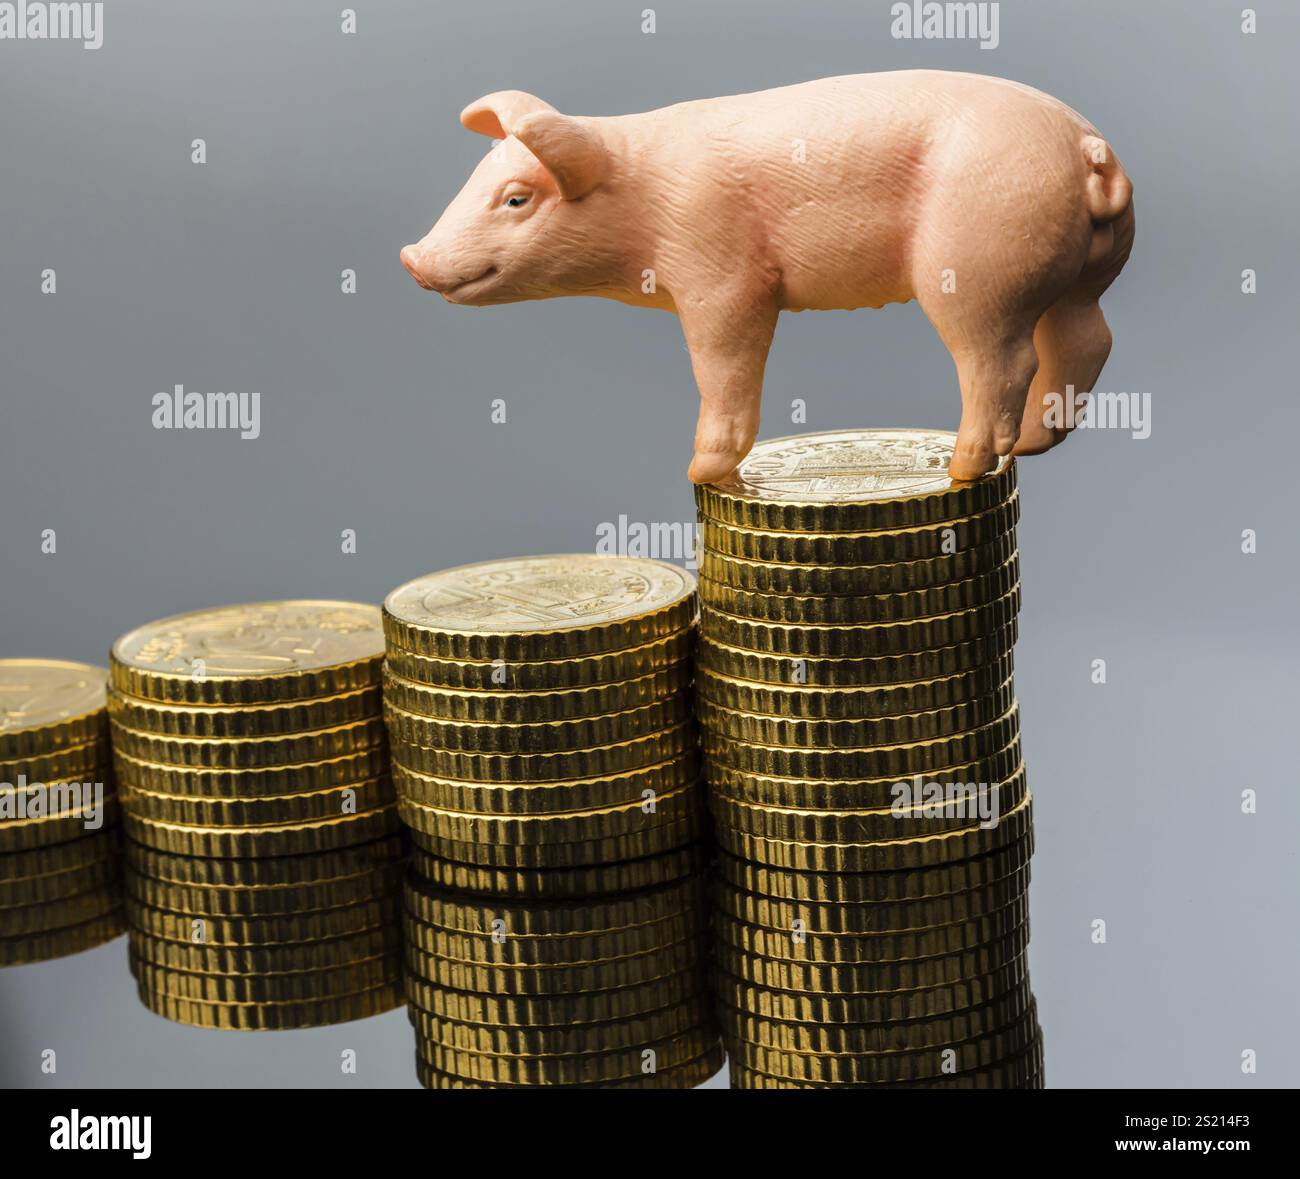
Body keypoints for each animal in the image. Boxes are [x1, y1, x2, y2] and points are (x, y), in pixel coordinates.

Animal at [400, 70, 1133, 483]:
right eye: (477, 180)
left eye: (516, 199)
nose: (411, 257)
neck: (643, 201)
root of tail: (1088, 148)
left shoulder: (720, 274)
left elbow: (723, 365)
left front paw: (700, 472)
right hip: (1078, 271)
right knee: (1087, 338)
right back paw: (1033, 441)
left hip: (978, 261)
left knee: (1000, 361)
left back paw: (961, 467)